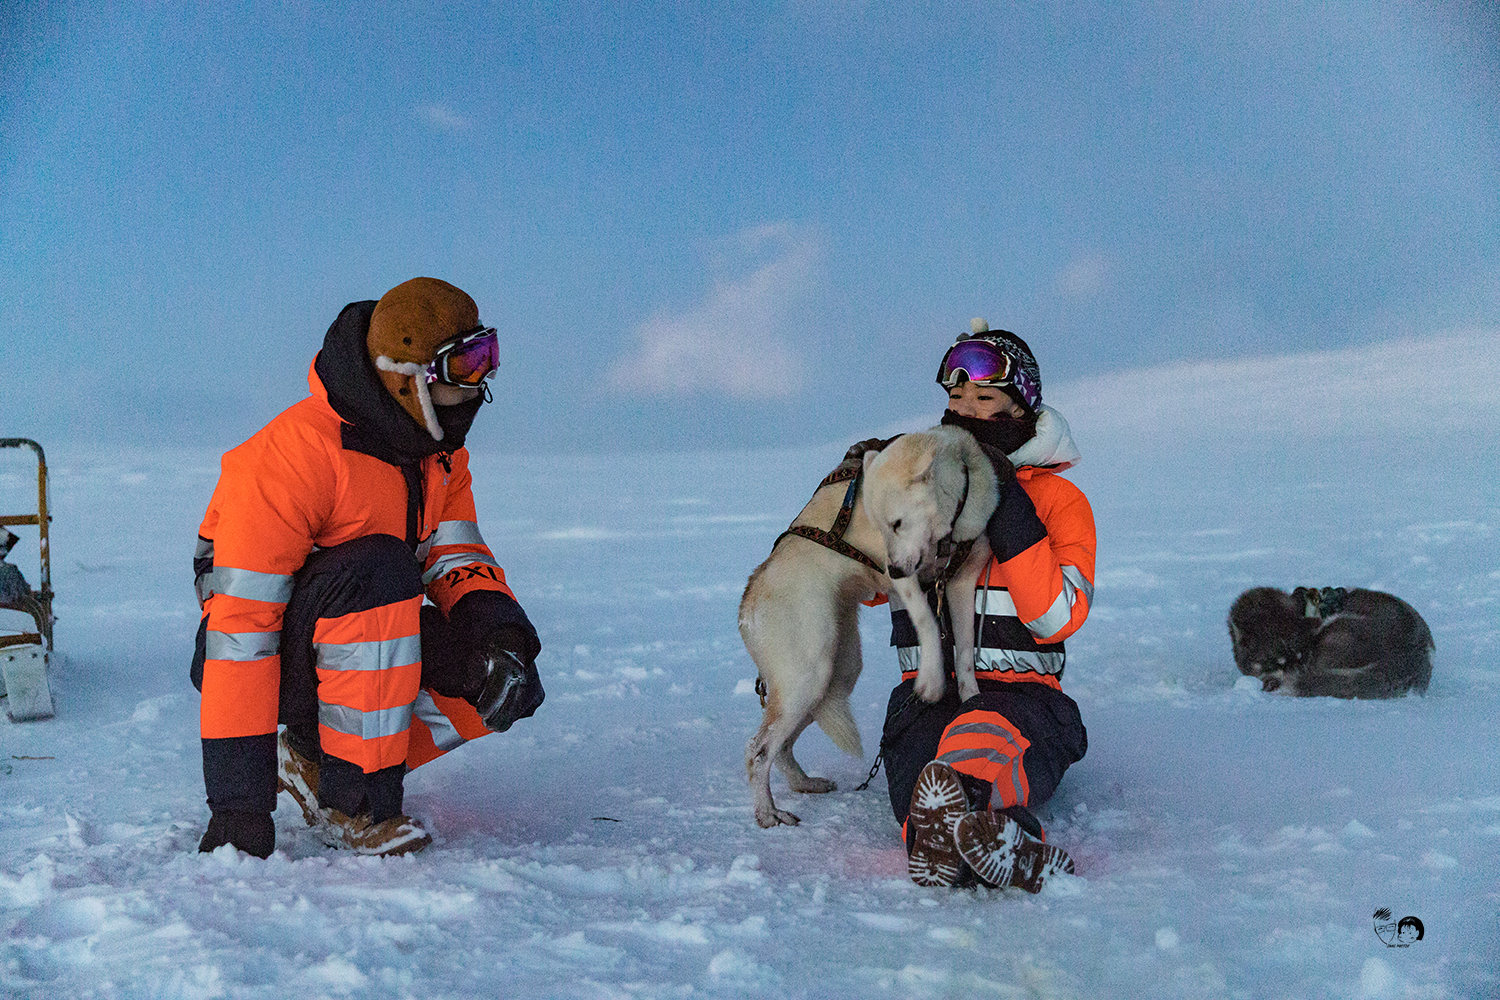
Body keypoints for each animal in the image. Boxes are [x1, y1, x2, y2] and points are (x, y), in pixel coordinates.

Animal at [738, 428, 996, 827]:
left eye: (898, 523)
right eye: (880, 526)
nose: (894, 568)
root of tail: (748, 599)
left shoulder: (962, 581)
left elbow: (966, 653)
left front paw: (970, 702)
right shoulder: (908, 582)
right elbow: (927, 622)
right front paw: (932, 682)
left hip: (835, 676)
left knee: (781, 747)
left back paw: (804, 784)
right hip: (807, 677)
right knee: (758, 751)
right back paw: (768, 814)